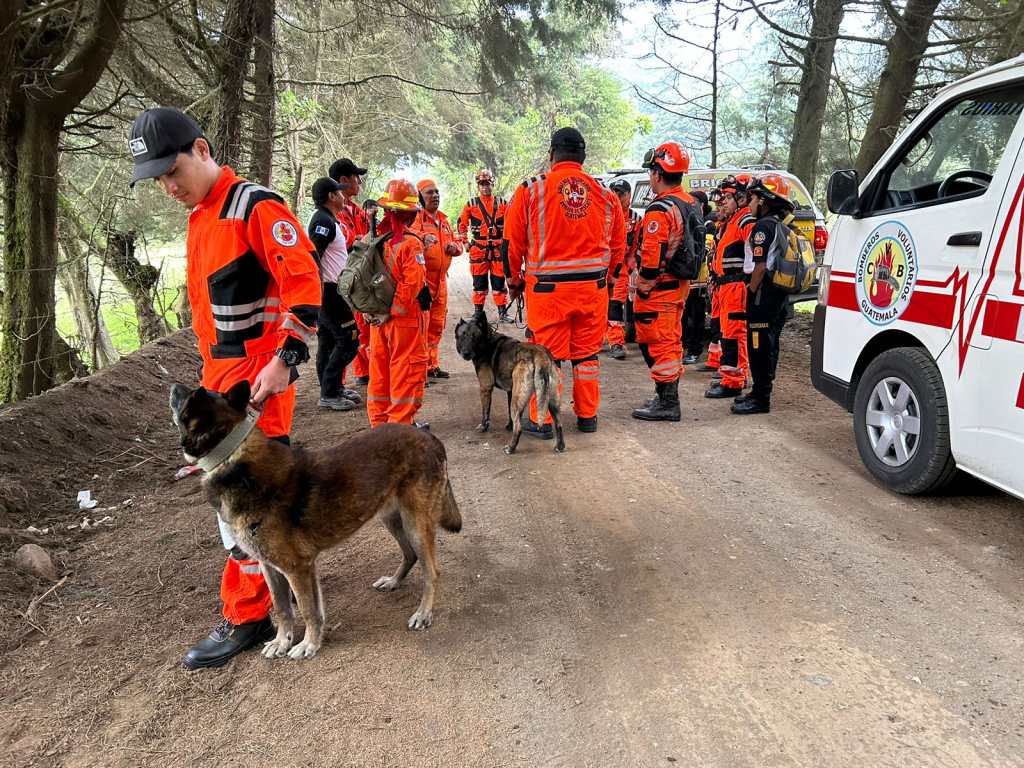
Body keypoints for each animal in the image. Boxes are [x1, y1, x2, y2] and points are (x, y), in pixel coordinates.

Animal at [168, 382, 464, 663]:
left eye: (189, 399)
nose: (173, 386)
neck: (232, 458)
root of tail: (427, 436)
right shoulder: (271, 567)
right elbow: (283, 608)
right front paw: (282, 641)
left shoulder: (297, 568)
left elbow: (308, 610)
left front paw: (307, 644)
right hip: (390, 517)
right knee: (410, 555)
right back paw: (393, 581)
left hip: (415, 525)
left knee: (431, 572)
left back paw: (423, 613)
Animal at [456, 313, 569, 456]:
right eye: (462, 335)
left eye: (474, 337)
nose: (465, 353)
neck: (487, 341)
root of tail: (540, 355)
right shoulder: (510, 391)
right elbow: (510, 415)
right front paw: (509, 426)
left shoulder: (485, 388)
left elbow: (485, 412)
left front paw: (483, 427)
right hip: (550, 400)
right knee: (559, 424)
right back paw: (560, 446)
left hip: (518, 400)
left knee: (519, 426)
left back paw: (510, 448)